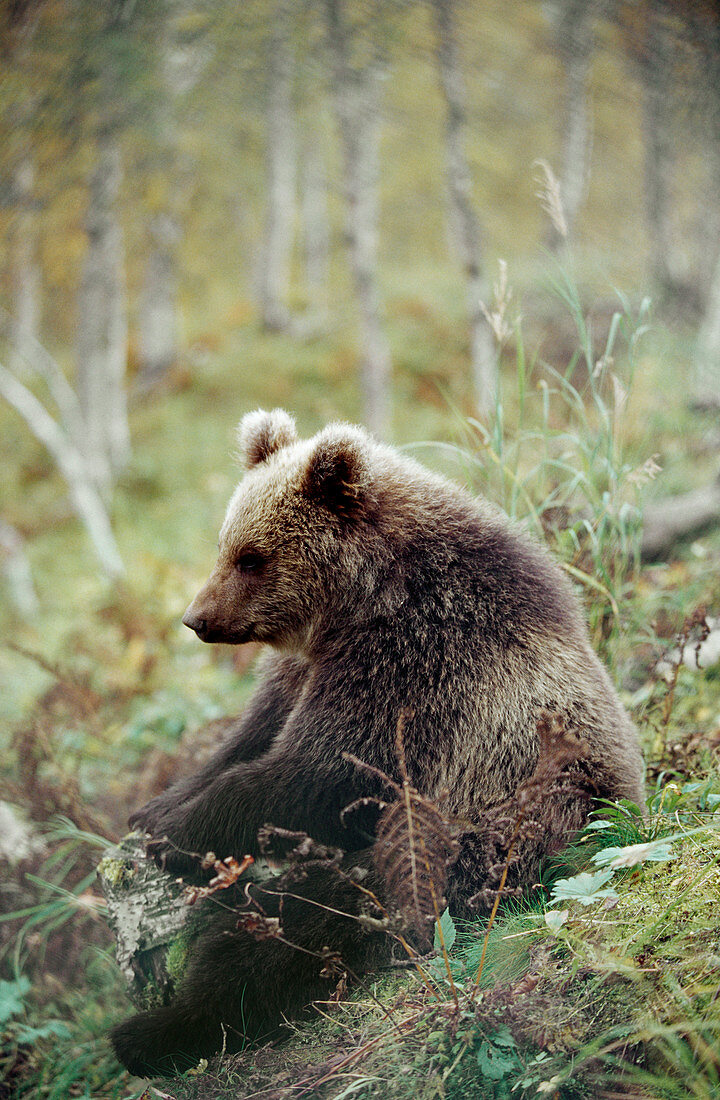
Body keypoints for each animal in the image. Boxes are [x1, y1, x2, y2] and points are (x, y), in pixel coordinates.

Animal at [112, 411, 646, 1073]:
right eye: (224, 544)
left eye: (252, 558)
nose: (197, 619)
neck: (356, 602)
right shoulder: (306, 670)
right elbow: (253, 738)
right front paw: (154, 809)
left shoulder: (413, 660)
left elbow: (324, 772)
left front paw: (177, 834)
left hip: (487, 835)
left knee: (304, 924)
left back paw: (162, 1028)